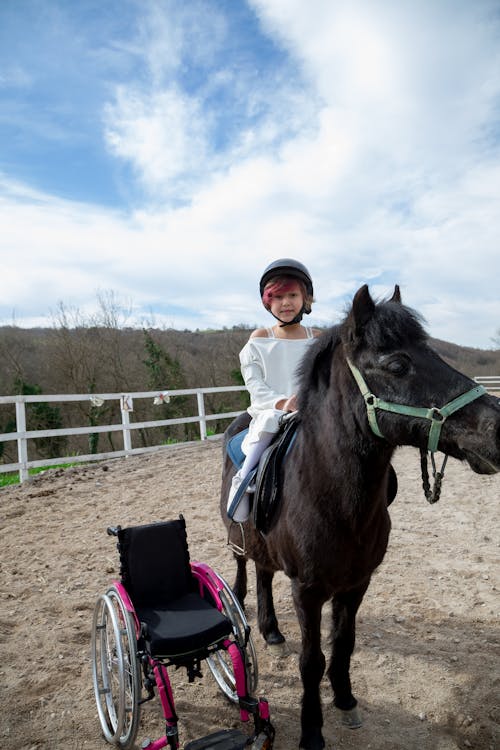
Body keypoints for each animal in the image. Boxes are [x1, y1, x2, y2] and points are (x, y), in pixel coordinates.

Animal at [220, 286, 500, 750]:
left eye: (435, 354)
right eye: (398, 365)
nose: (497, 428)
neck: (333, 501)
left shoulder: (357, 584)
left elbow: (344, 644)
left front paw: (346, 699)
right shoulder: (308, 591)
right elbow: (311, 661)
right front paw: (311, 729)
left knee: (263, 571)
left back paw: (272, 631)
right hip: (238, 537)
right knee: (246, 570)